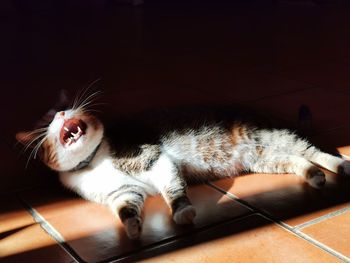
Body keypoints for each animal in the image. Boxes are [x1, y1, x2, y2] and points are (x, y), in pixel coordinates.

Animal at [16, 90, 350, 239]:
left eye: (65, 107)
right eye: (46, 121)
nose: (62, 113)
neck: (93, 162)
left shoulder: (154, 159)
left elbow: (173, 189)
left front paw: (183, 212)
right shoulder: (121, 192)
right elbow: (126, 207)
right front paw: (133, 227)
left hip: (267, 137)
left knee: (311, 149)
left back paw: (339, 165)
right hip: (262, 157)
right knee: (297, 159)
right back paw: (314, 176)